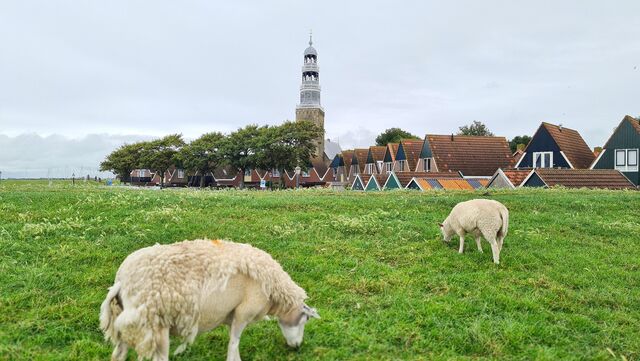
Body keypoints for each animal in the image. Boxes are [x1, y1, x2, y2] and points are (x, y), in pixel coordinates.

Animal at [99, 239, 320, 360]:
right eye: (305, 319)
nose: (297, 346)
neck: (274, 289)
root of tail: (121, 281)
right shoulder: (244, 311)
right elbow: (234, 342)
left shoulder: (231, 314)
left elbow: (233, 340)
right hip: (154, 323)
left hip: (128, 324)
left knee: (118, 354)